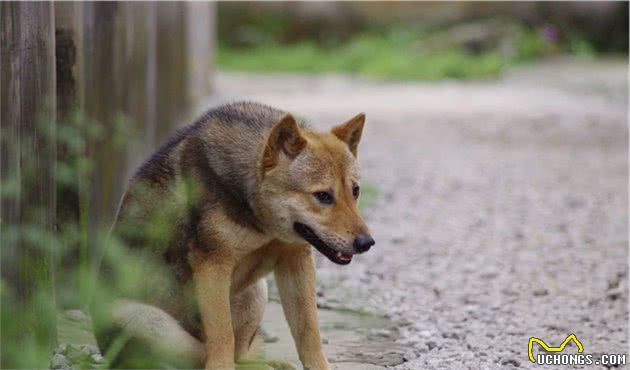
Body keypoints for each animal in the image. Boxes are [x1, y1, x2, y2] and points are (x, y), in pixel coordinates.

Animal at [94, 102, 378, 370]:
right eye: (322, 196)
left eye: (355, 191)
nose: (367, 243)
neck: (262, 222)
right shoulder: (213, 266)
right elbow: (222, 337)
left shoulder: (295, 261)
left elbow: (309, 333)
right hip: (142, 319)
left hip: (256, 291)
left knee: (239, 354)